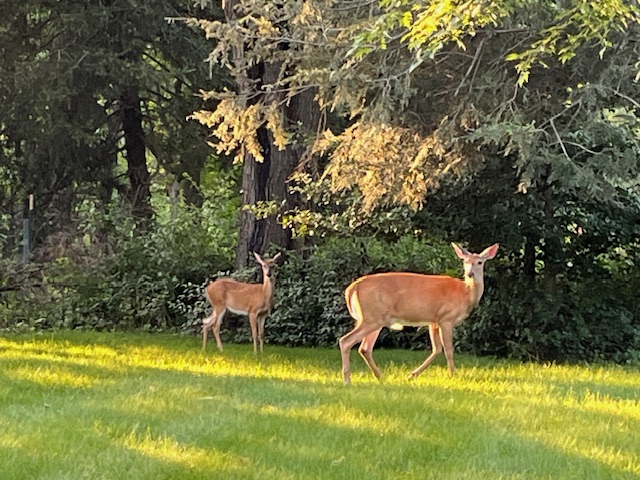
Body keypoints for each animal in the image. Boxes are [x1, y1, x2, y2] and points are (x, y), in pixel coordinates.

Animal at [339, 242, 499, 385]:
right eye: (465, 261)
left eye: (479, 262)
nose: (470, 274)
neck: (465, 294)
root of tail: (352, 288)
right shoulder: (446, 318)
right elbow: (448, 349)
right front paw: (453, 375)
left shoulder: (433, 321)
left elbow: (436, 349)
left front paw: (412, 375)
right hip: (372, 317)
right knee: (346, 341)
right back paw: (347, 380)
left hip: (374, 318)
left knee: (364, 348)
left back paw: (381, 378)